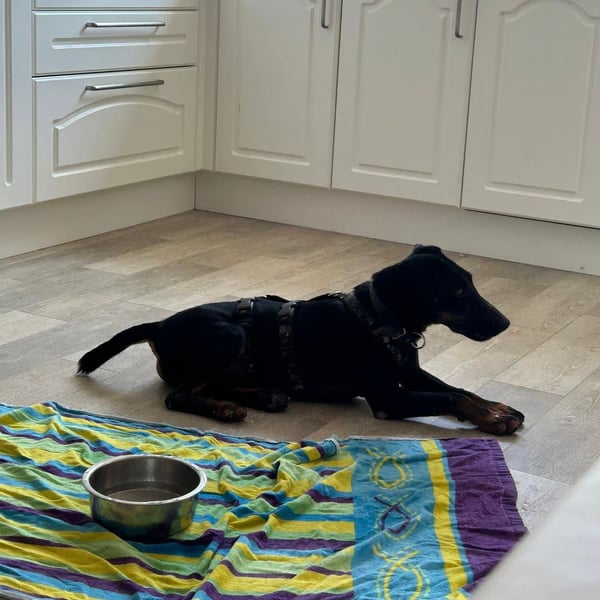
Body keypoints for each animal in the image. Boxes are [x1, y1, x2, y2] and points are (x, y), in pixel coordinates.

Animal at [78, 245, 524, 435]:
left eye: (471, 283)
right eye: (458, 294)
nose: (505, 323)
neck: (379, 319)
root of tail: (158, 326)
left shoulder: (410, 374)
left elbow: (460, 390)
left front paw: (496, 407)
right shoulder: (388, 400)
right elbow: (449, 397)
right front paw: (493, 420)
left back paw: (262, 397)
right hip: (228, 334)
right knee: (178, 396)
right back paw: (226, 409)